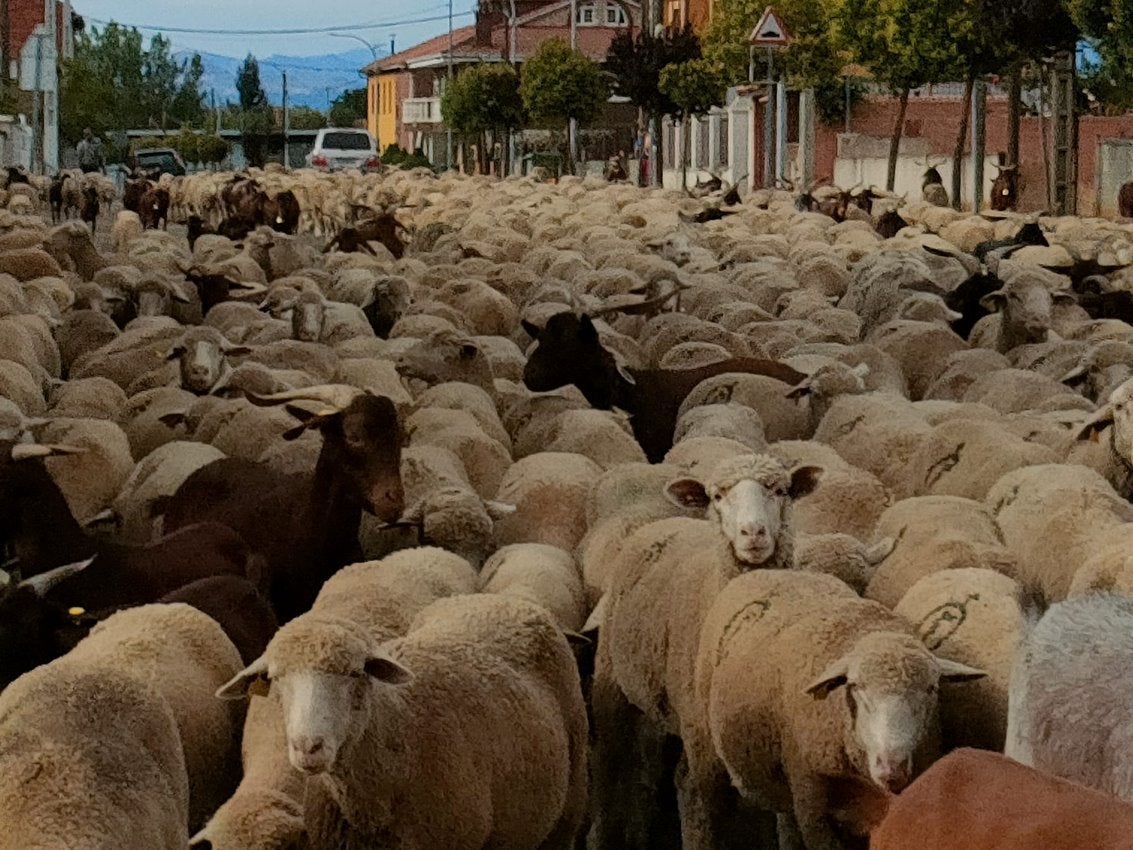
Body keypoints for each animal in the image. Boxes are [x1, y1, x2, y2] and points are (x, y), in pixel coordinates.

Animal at [679, 568, 983, 850]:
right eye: (855, 686)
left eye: (931, 688)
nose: (891, 768)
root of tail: (772, 570)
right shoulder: (813, 804)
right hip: (709, 756)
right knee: (705, 805)